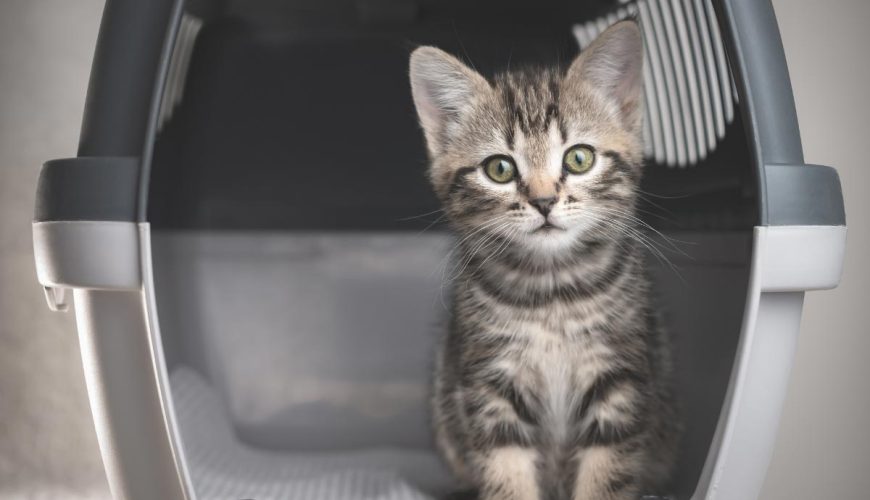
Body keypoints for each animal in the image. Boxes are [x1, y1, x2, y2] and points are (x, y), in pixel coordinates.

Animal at [408, 20, 680, 500]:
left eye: (579, 158)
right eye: (499, 168)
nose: (544, 200)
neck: (552, 293)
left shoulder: (619, 382)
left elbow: (605, 475)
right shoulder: (490, 385)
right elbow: (506, 472)